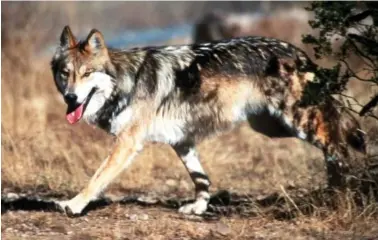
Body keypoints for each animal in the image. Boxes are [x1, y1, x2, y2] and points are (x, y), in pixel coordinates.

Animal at [49, 25, 364, 217]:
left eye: (87, 73)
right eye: (66, 73)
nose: (71, 98)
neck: (126, 82)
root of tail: (297, 51)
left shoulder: (127, 143)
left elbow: (96, 178)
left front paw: (73, 205)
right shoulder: (181, 141)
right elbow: (201, 178)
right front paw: (199, 208)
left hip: (296, 120)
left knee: (336, 141)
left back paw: (344, 189)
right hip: (271, 127)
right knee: (335, 132)